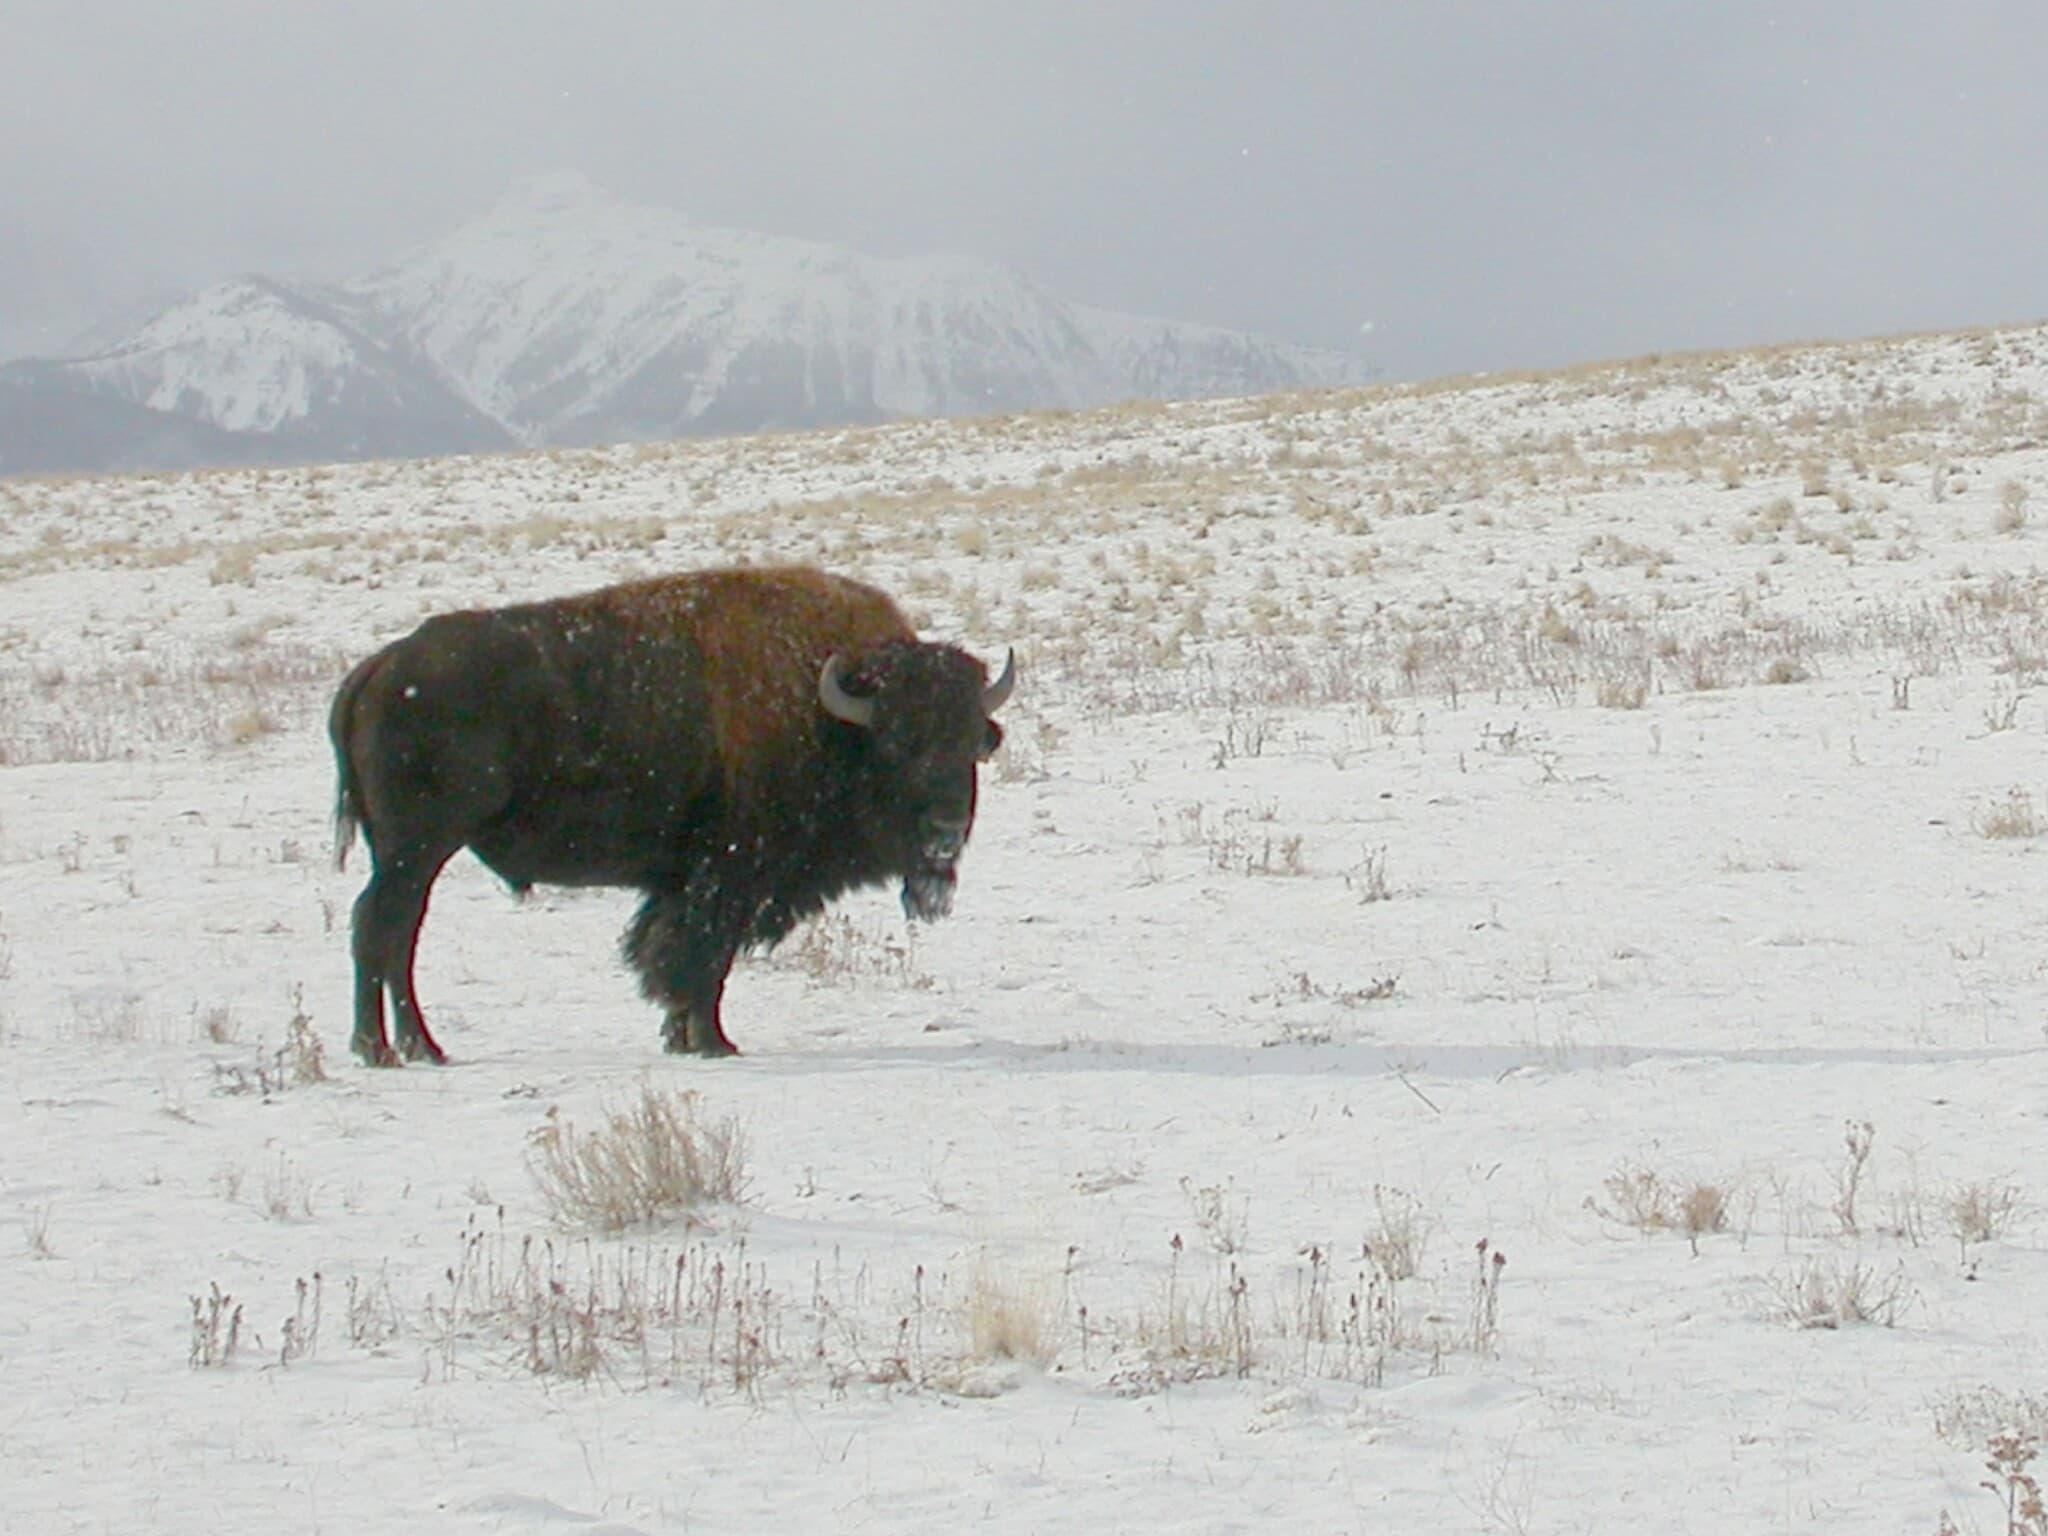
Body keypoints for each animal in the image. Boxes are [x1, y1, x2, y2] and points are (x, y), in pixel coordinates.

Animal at [329, 564, 1014, 1065]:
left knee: (393, 931)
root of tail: (380, 667)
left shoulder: (686, 882)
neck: (832, 721)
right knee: (382, 925)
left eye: (970, 742)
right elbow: (702, 958)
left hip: (408, 853)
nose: (945, 832)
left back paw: (404, 1047)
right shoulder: (728, 878)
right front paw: (713, 1043)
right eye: (898, 744)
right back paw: (392, 1049)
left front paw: (682, 1036)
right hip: (417, 848)